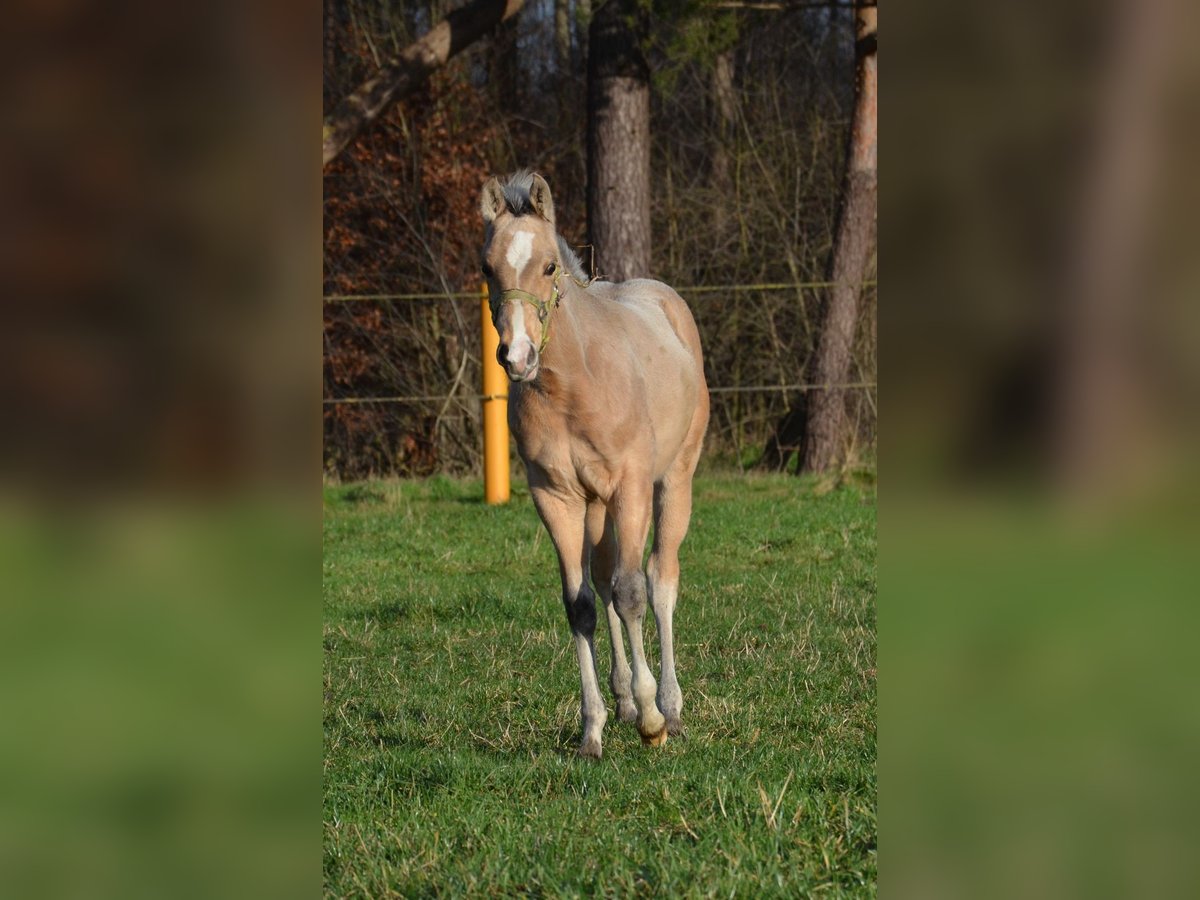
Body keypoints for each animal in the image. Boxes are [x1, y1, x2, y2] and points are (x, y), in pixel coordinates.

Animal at [475, 170, 705, 763]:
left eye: (549, 266)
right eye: (488, 268)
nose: (517, 356)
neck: (575, 385)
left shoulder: (630, 488)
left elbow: (632, 593)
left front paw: (652, 721)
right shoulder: (556, 497)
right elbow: (580, 604)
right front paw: (593, 730)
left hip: (673, 482)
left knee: (659, 579)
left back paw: (669, 706)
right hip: (597, 508)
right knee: (602, 583)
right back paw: (622, 703)